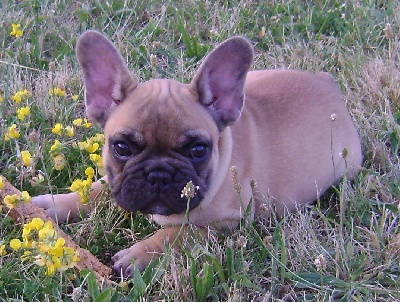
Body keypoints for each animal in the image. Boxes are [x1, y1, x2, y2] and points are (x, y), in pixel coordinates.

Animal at [31, 30, 362, 276]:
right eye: (121, 147)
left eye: (198, 150)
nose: (159, 175)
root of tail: (327, 83)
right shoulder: (117, 182)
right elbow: (96, 191)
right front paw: (55, 205)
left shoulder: (228, 223)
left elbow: (178, 233)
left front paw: (138, 255)